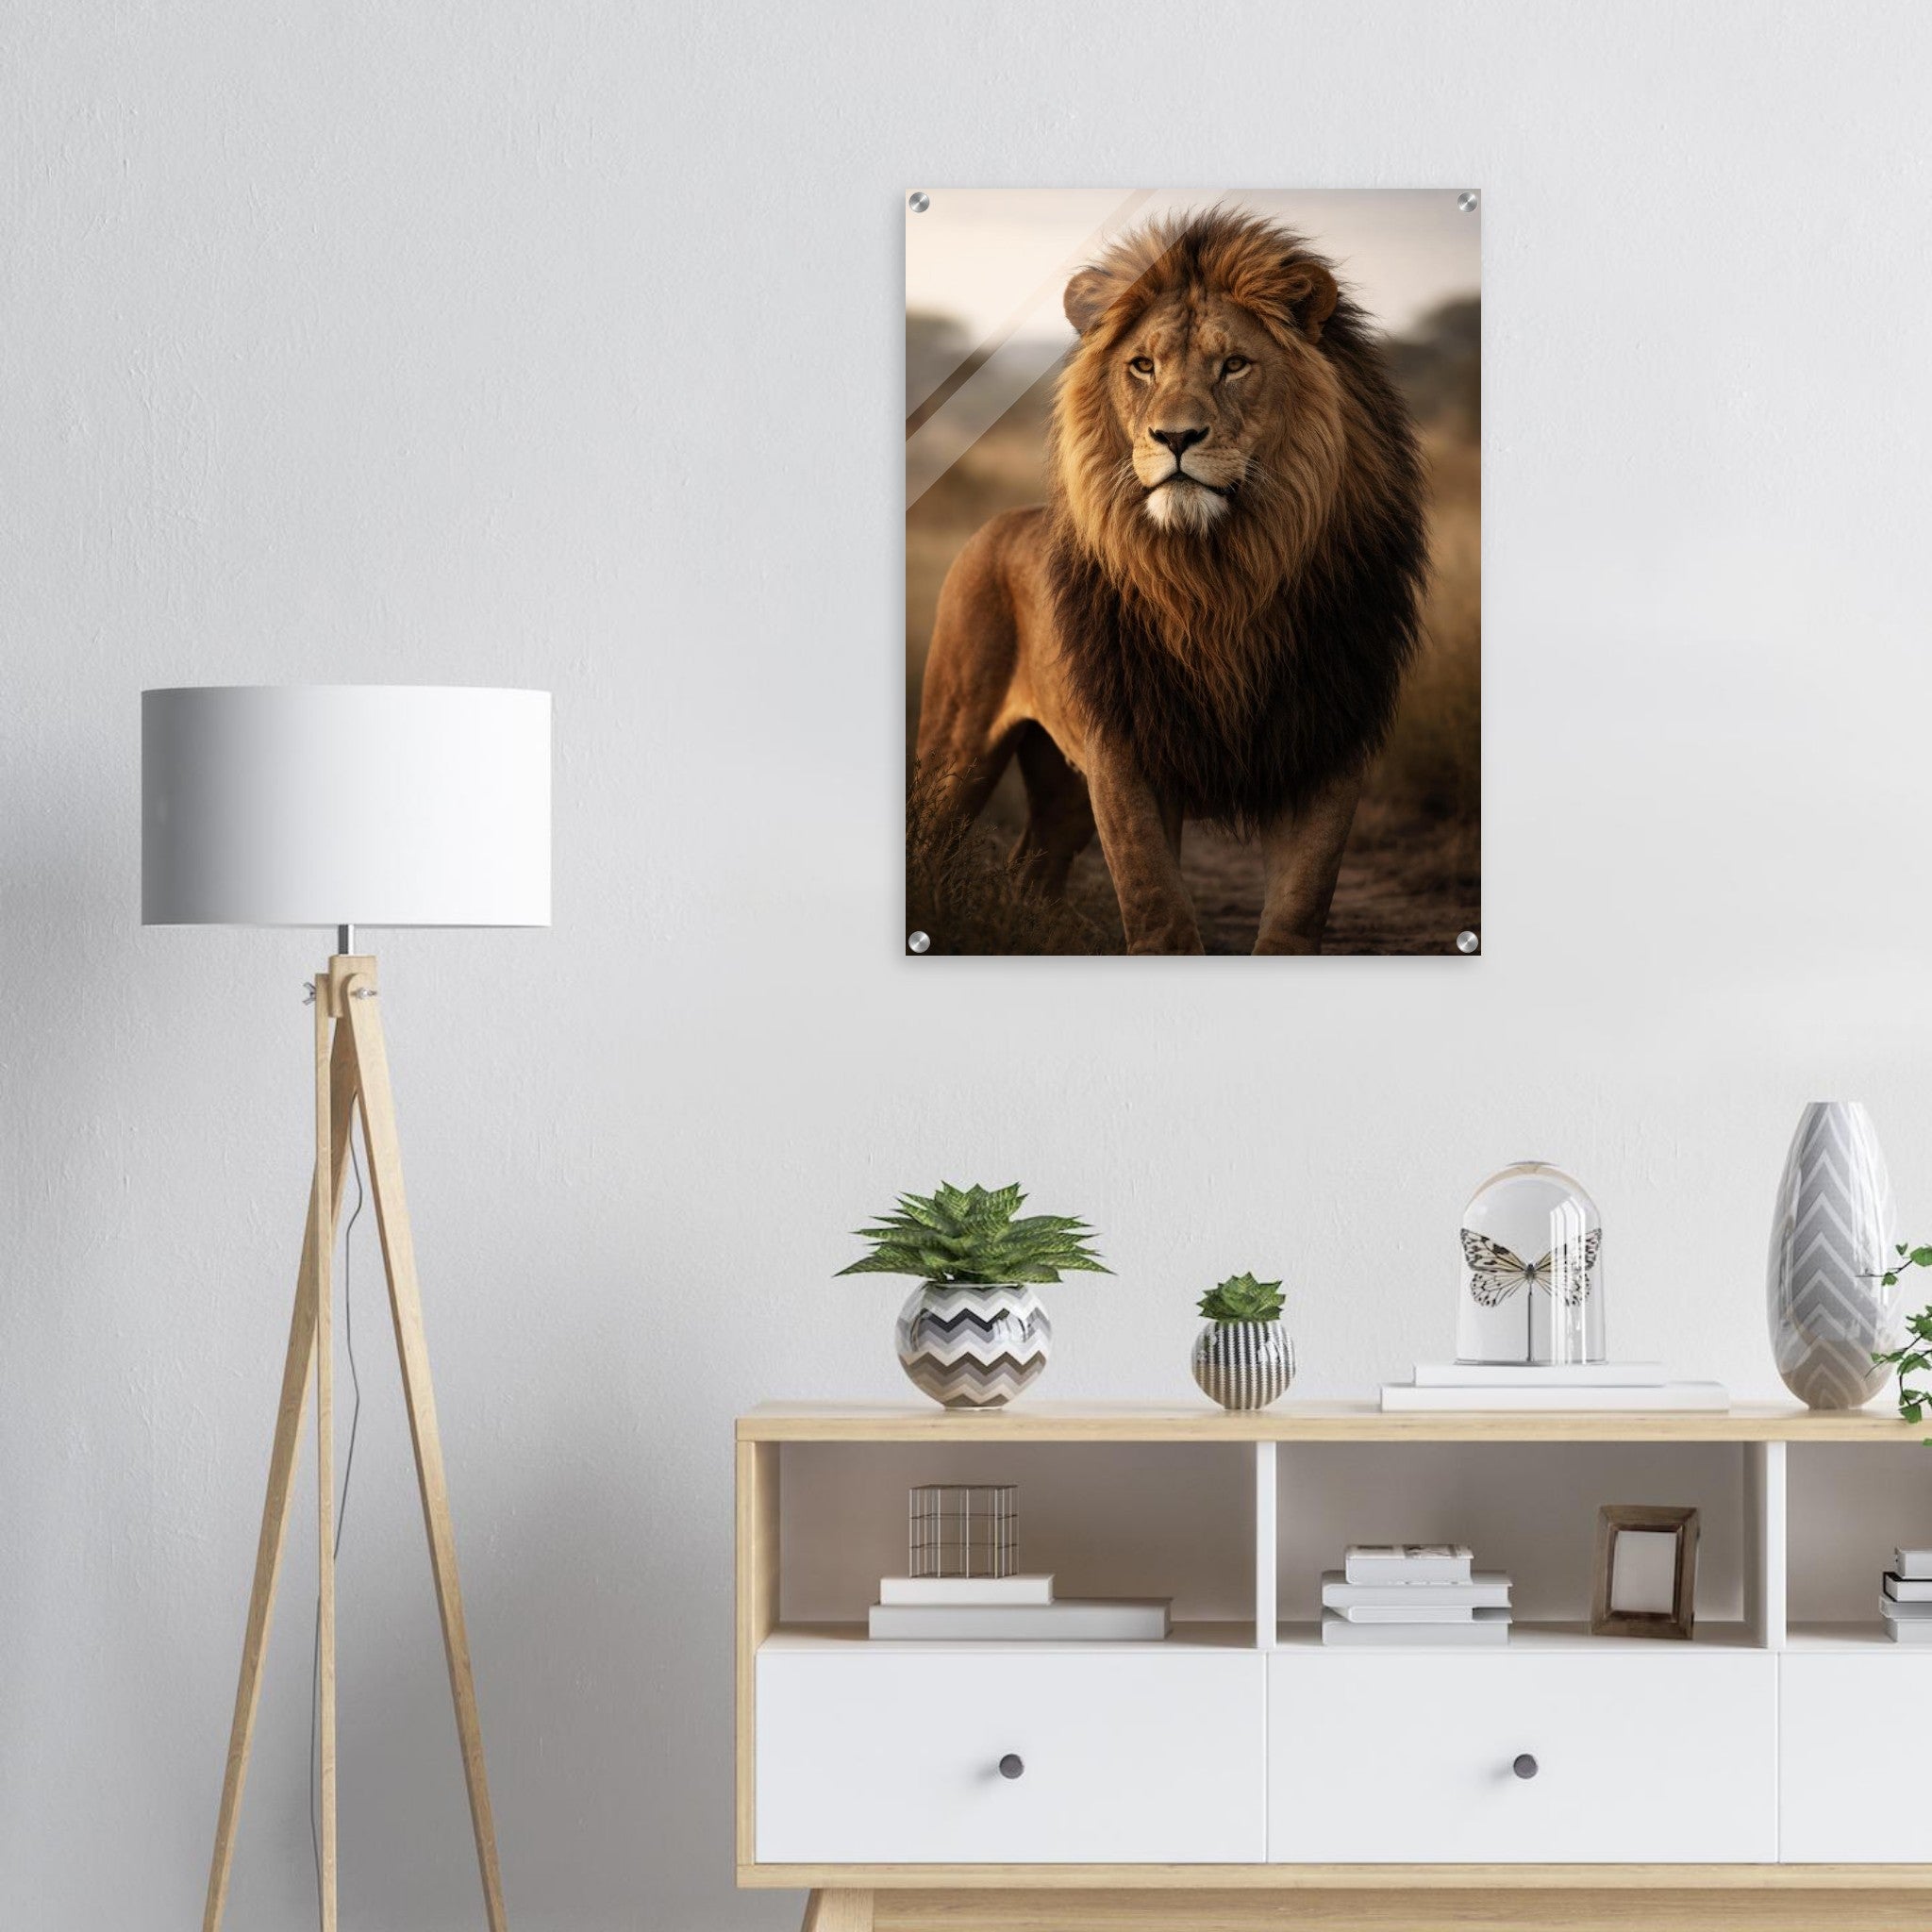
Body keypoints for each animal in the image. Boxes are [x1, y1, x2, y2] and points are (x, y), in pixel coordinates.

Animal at [915, 207, 1426, 954]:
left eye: (1234, 365)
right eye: (1143, 366)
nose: (1176, 437)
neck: (1218, 579)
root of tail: (999, 523)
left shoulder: (1327, 745)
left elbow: (1298, 912)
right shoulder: (1124, 750)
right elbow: (1157, 907)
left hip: (1061, 782)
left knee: (1031, 868)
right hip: (956, 746)